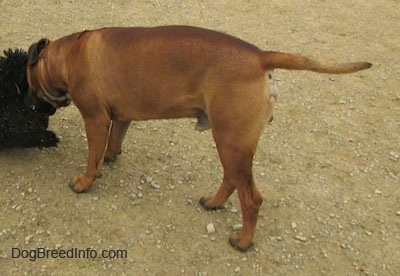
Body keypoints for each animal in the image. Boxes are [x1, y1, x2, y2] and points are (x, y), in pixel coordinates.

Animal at [26, 25, 372, 250]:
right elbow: (113, 142)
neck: (68, 53)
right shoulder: (121, 116)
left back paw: (243, 241)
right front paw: (109, 159)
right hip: (232, 143)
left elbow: (91, 154)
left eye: (29, 79)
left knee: (251, 197)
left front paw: (85, 180)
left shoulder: (95, 119)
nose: (32, 101)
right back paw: (214, 203)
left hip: (230, 140)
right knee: (233, 179)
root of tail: (260, 57)